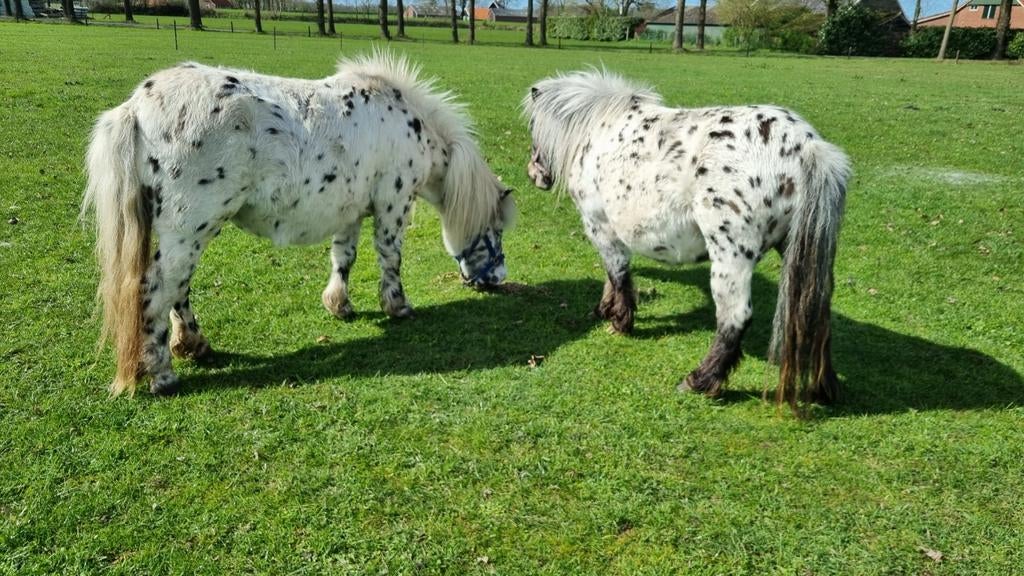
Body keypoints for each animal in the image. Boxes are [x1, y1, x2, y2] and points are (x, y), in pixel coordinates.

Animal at [82, 52, 516, 397]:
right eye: (494, 232)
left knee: (177, 288)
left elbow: (344, 257)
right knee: (157, 290)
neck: (406, 122)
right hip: (190, 229)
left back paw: (193, 345)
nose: (497, 279)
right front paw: (398, 306)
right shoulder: (393, 203)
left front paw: (339, 305)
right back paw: (164, 375)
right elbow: (390, 257)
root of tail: (136, 108)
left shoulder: (350, 211)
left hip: (185, 233)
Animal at [524, 70, 850, 407]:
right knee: (814, 312)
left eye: (533, 127)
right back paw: (821, 387)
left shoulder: (600, 226)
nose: (535, 174)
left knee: (735, 317)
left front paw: (620, 322)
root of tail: (807, 147)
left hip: (730, 257)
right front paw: (605, 310)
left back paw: (700, 381)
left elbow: (618, 274)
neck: (598, 127)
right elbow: (612, 274)